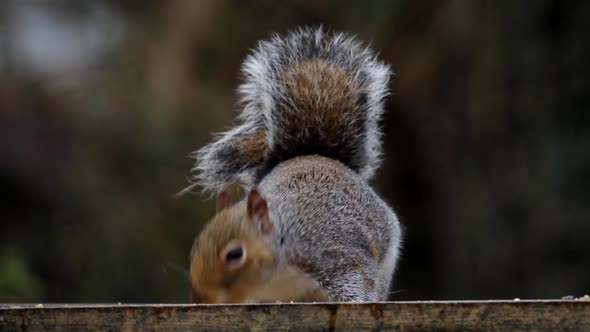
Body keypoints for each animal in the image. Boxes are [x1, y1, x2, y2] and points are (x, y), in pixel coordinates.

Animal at [190, 27, 402, 304]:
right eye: (195, 246)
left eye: (235, 254)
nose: (200, 299)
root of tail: (315, 156)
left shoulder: (332, 256)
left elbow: (357, 285)